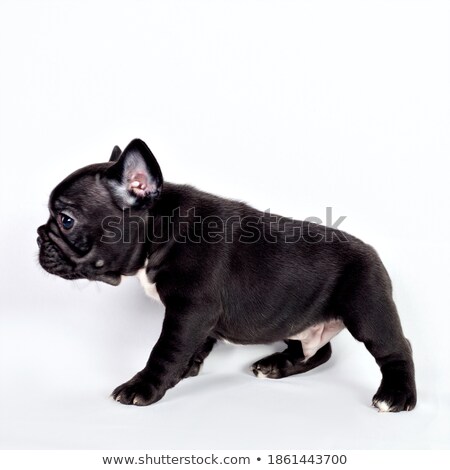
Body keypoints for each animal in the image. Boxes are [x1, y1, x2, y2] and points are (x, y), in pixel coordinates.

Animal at [37, 140, 416, 412]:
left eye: (66, 220)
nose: (39, 236)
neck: (160, 228)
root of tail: (374, 254)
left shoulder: (190, 310)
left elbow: (166, 349)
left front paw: (144, 386)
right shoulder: (197, 317)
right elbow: (194, 345)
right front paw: (185, 369)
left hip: (368, 308)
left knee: (397, 348)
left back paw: (397, 396)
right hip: (294, 318)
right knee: (317, 352)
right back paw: (278, 364)